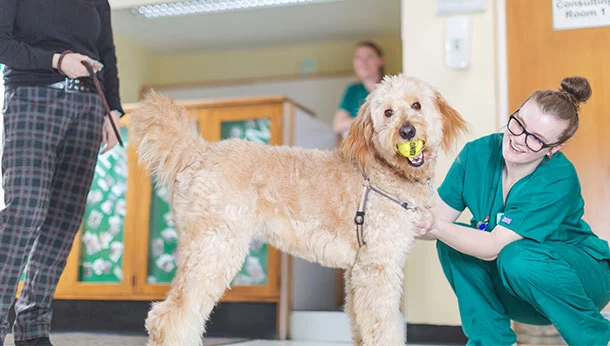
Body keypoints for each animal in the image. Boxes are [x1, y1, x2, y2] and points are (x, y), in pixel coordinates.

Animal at [128, 74, 466, 344]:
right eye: (388, 112)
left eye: (417, 105)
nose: (407, 132)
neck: (384, 172)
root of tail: (200, 152)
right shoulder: (378, 267)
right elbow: (384, 326)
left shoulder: (357, 271)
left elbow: (361, 324)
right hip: (216, 247)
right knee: (169, 316)